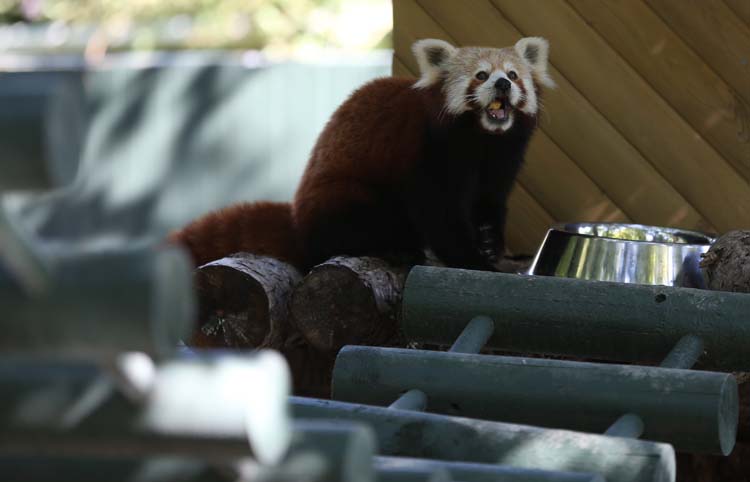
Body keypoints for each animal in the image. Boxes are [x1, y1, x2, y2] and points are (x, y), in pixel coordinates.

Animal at [170, 37, 554, 272]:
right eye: (481, 75)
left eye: (513, 75)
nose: (502, 84)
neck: (481, 140)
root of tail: (298, 220)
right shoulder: (428, 152)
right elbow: (439, 214)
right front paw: (472, 260)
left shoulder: (503, 158)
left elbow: (490, 200)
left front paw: (490, 243)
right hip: (345, 195)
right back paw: (393, 247)